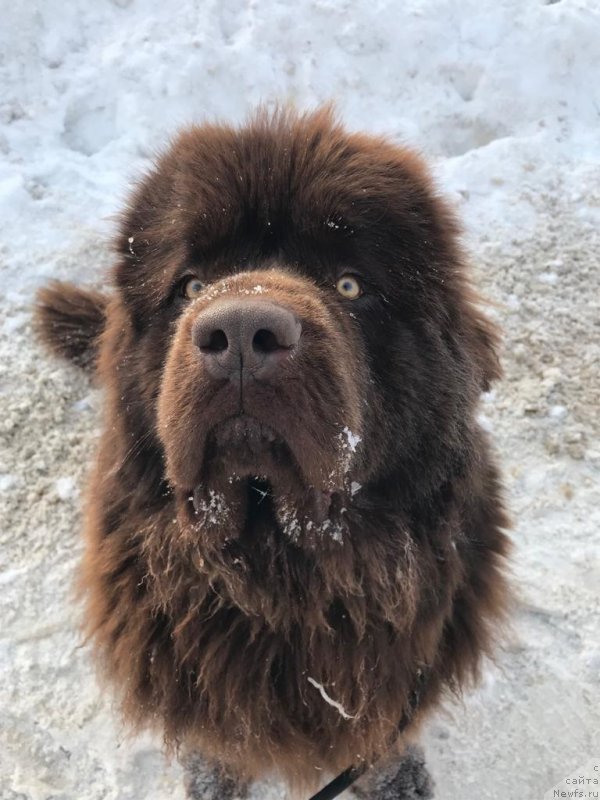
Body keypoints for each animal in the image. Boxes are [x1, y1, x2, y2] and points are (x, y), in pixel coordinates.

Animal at [34, 108, 510, 800]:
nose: (239, 334)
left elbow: (380, 737)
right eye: (191, 285)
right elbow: (219, 747)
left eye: (349, 284)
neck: (281, 578)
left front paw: (397, 778)